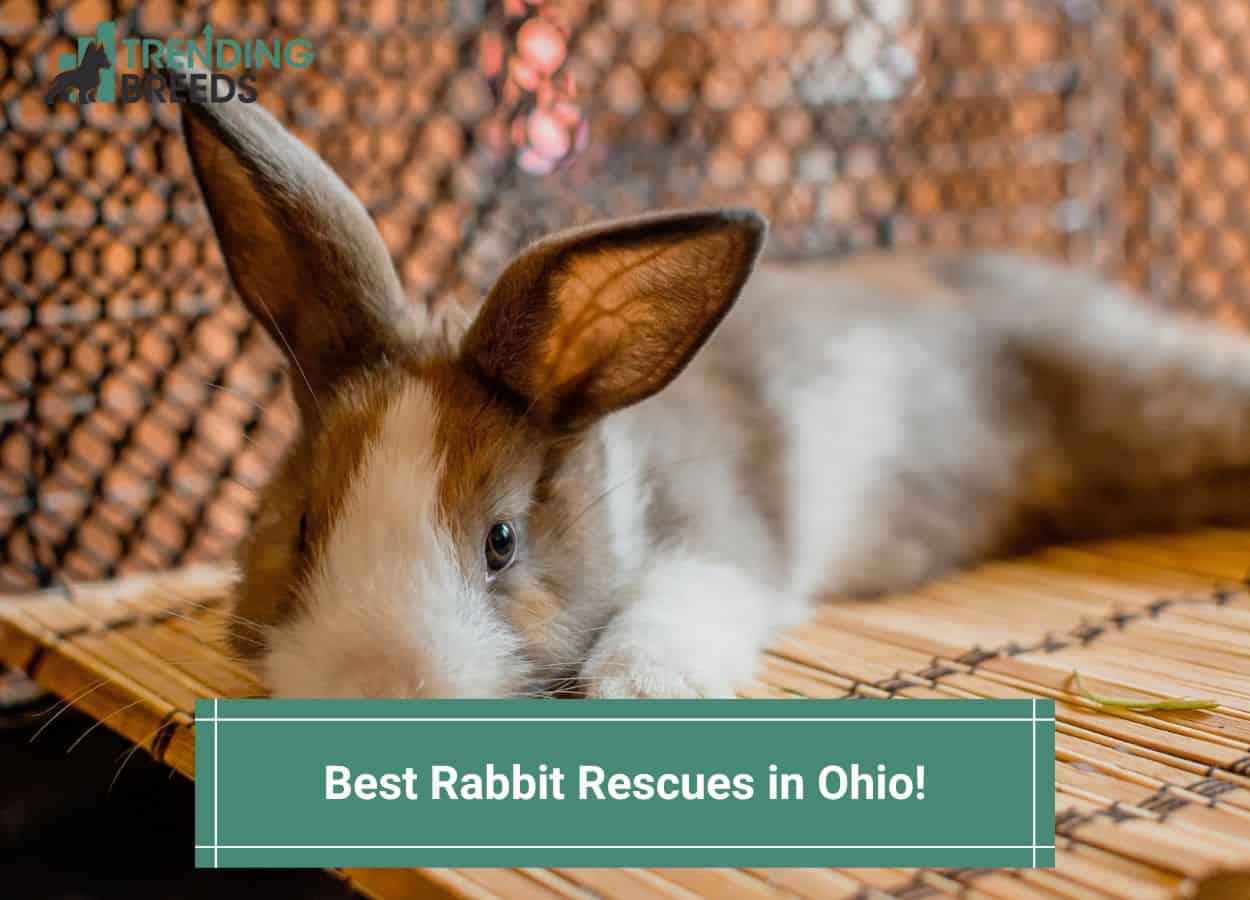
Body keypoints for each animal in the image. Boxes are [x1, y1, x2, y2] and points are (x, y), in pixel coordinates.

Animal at [180, 87, 1250, 700]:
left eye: (502, 542)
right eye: (302, 528)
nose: (378, 686)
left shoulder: (723, 532)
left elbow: (688, 598)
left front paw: (640, 686)